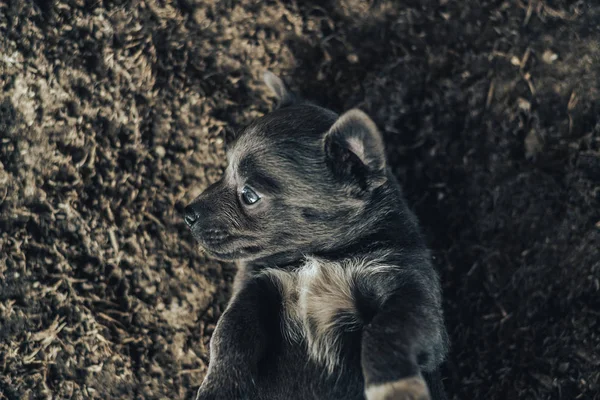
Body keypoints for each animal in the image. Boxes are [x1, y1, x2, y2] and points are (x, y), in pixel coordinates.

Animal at [185, 72, 448, 400]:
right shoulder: (256, 287)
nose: (187, 214)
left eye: (249, 195)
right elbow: (229, 334)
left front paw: (395, 385)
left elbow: (387, 329)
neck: (318, 257)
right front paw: (217, 389)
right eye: (224, 171)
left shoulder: (411, 290)